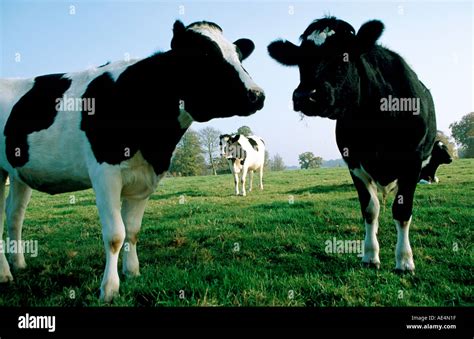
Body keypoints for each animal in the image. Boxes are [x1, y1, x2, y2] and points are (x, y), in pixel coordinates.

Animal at [0, 19, 264, 302]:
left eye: (239, 55)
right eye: (205, 54)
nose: (257, 94)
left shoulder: (144, 179)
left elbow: (133, 230)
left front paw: (132, 272)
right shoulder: (105, 176)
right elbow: (116, 234)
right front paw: (109, 288)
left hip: (19, 173)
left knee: (14, 215)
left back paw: (19, 265)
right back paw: (5, 274)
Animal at [270, 17, 436, 274]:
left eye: (344, 55)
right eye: (300, 59)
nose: (305, 95)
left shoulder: (413, 162)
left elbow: (402, 211)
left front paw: (404, 261)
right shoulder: (354, 163)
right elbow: (369, 210)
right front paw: (370, 255)